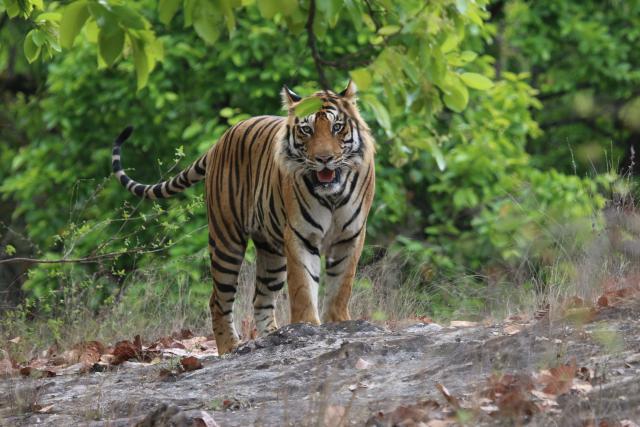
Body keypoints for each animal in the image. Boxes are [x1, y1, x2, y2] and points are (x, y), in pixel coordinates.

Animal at [111, 81, 375, 354]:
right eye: (306, 129)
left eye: (337, 127)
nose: (324, 159)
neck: (332, 195)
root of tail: (219, 141)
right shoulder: (300, 235)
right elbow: (303, 287)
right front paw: (308, 328)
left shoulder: (350, 236)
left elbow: (341, 286)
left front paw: (338, 324)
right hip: (226, 240)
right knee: (218, 300)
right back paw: (230, 348)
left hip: (272, 252)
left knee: (260, 299)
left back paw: (273, 337)